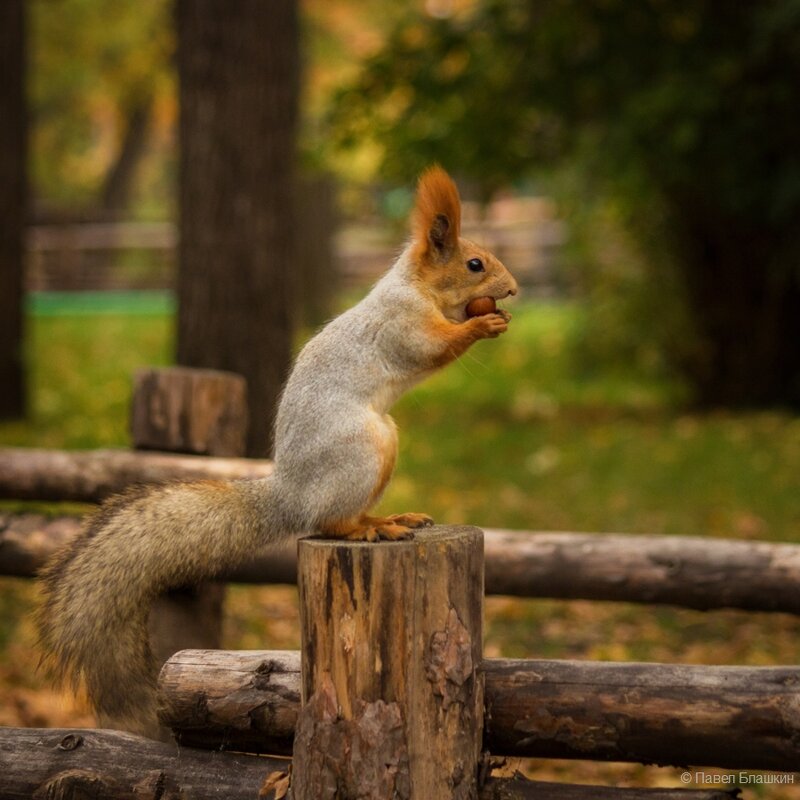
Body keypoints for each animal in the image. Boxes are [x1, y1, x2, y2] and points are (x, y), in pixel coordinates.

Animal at [39, 164, 520, 736]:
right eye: (475, 264)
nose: (514, 289)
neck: (414, 287)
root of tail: (290, 496)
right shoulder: (403, 326)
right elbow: (434, 346)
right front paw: (482, 324)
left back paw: (390, 517)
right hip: (364, 447)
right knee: (330, 523)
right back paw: (372, 529)